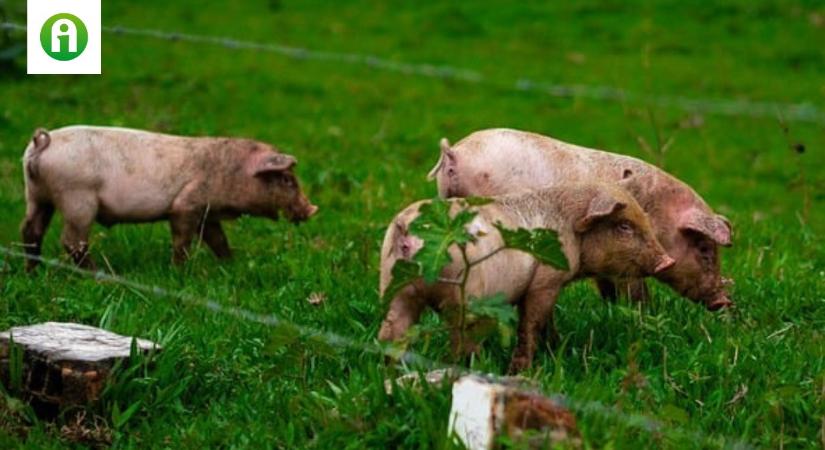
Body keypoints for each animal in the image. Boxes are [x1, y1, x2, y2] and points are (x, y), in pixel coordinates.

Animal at [21, 125, 318, 268]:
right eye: (287, 179)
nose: (313, 209)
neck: (230, 170)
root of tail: (41, 143)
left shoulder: (207, 212)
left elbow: (217, 239)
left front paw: (231, 264)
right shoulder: (186, 205)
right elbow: (182, 241)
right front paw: (179, 271)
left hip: (37, 196)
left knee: (30, 230)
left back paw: (33, 271)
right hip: (77, 200)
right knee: (71, 241)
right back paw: (100, 275)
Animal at [376, 183, 672, 372]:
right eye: (624, 226)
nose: (667, 261)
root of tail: (408, 228)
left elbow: (545, 320)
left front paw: (555, 347)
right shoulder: (545, 280)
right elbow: (531, 322)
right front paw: (524, 370)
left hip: (394, 285)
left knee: (391, 330)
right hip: (465, 297)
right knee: (461, 337)